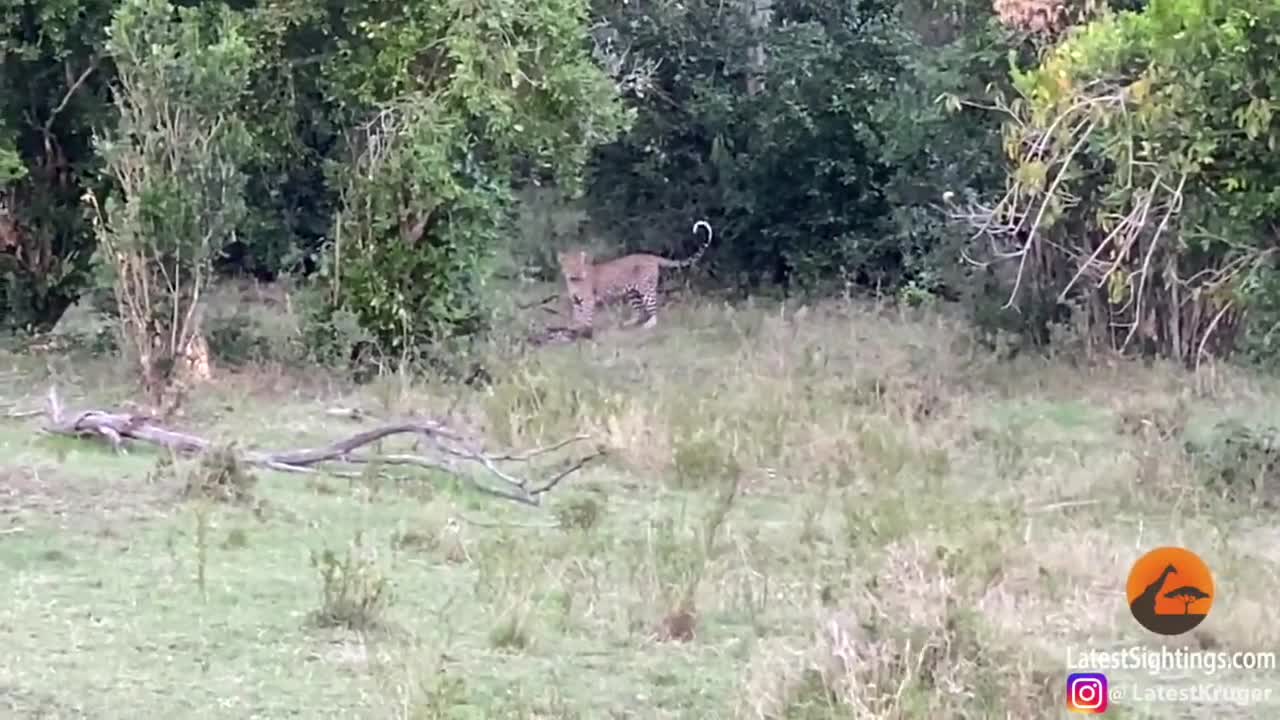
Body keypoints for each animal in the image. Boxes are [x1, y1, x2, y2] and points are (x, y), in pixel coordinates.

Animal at [555, 219, 716, 330]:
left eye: (578, 265)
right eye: (568, 265)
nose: (574, 272)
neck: (573, 281)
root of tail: (650, 256)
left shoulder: (588, 300)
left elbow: (586, 315)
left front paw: (584, 329)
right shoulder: (576, 302)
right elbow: (577, 316)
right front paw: (575, 327)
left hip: (646, 288)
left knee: (653, 309)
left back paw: (649, 325)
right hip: (632, 293)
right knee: (639, 312)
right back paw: (627, 323)